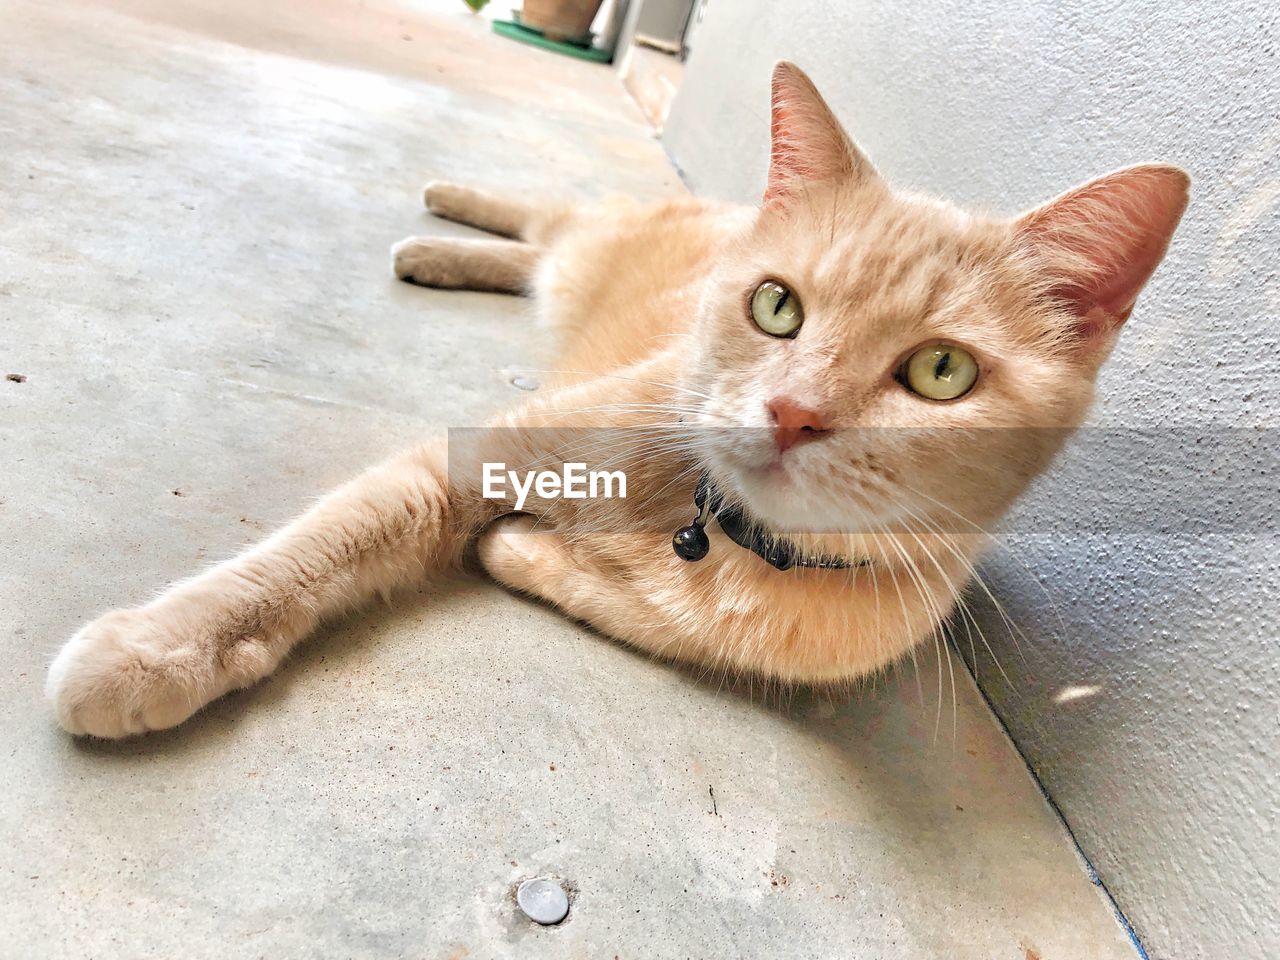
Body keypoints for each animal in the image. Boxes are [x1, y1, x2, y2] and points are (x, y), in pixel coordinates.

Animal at [49, 64, 1187, 742]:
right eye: (776, 305)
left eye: (939, 373)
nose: (792, 412)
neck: (706, 525)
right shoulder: (464, 461)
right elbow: (313, 551)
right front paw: (157, 649)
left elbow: (610, 600)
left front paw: (523, 553)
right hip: (588, 237)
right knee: (548, 216)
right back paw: (442, 218)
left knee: (543, 247)